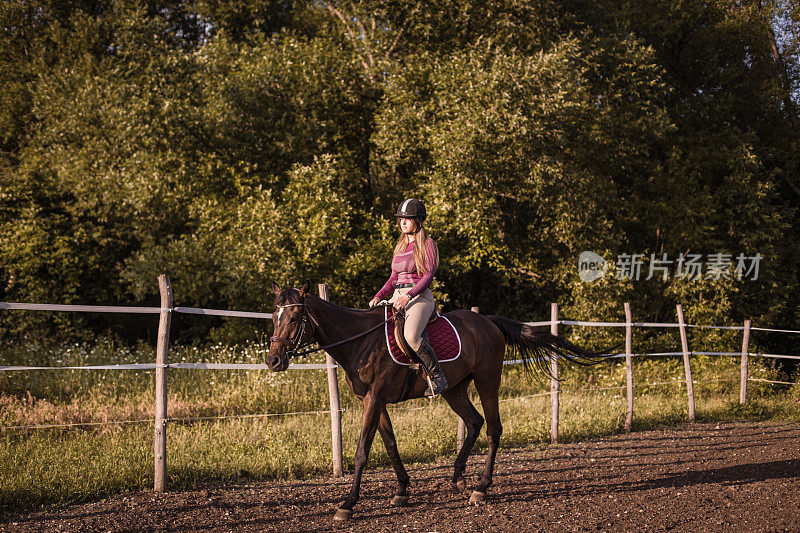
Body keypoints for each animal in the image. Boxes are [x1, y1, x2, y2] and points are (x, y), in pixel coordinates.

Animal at [268, 282, 608, 520]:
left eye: (295, 317)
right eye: (274, 316)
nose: (273, 361)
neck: (360, 340)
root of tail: (487, 322)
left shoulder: (374, 399)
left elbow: (362, 451)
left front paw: (347, 504)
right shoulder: (374, 401)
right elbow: (390, 445)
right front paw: (402, 490)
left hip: (487, 382)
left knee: (493, 428)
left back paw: (481, 487)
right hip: (454, 389)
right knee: (474, 422)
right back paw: (457, 478)